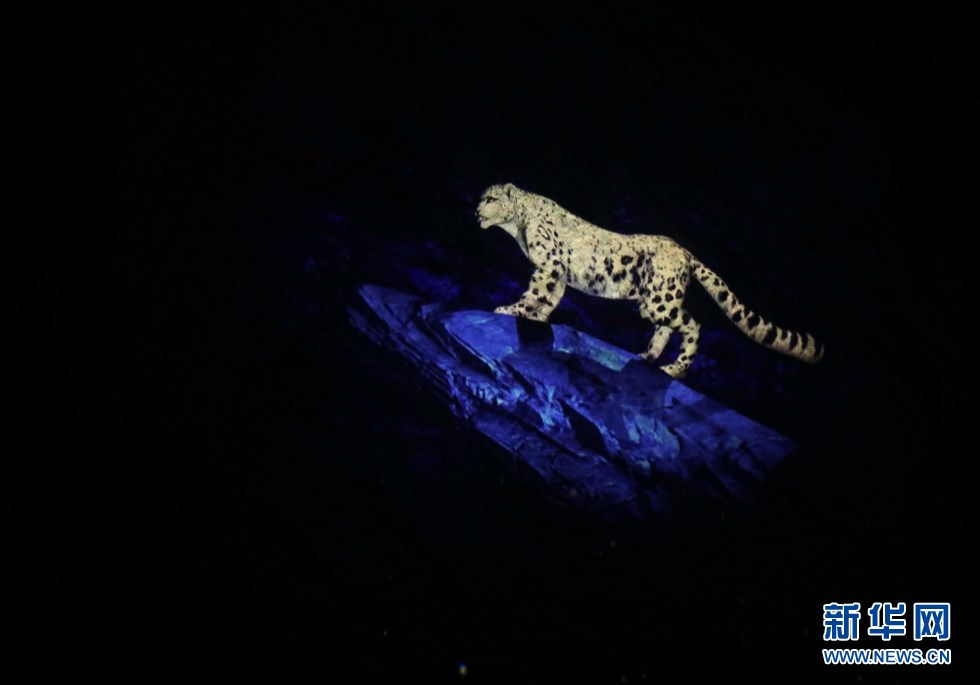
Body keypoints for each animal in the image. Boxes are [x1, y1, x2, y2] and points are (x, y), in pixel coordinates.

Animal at [476, 182, 824, 378]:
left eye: (490, 198)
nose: (477, 212)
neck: (517, 229)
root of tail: (683, 251)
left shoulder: (549, 263)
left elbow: (535, 291)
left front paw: (511, 309)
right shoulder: (559, 272)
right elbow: (550, 296)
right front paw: (538, 317)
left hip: (660, 300)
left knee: (692, 324)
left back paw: (675, 369)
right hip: (654, 301)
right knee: (667, 327)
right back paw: (648, 356)